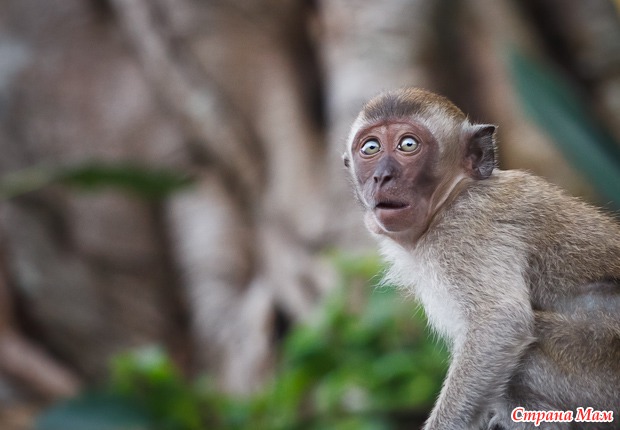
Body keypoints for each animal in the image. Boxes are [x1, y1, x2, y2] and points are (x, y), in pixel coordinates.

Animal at [343, 87, 620, 430]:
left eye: (408, 144)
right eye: (371, 147)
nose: (382, 176)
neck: (452, 196)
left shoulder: (466, 230)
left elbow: (499, 321)